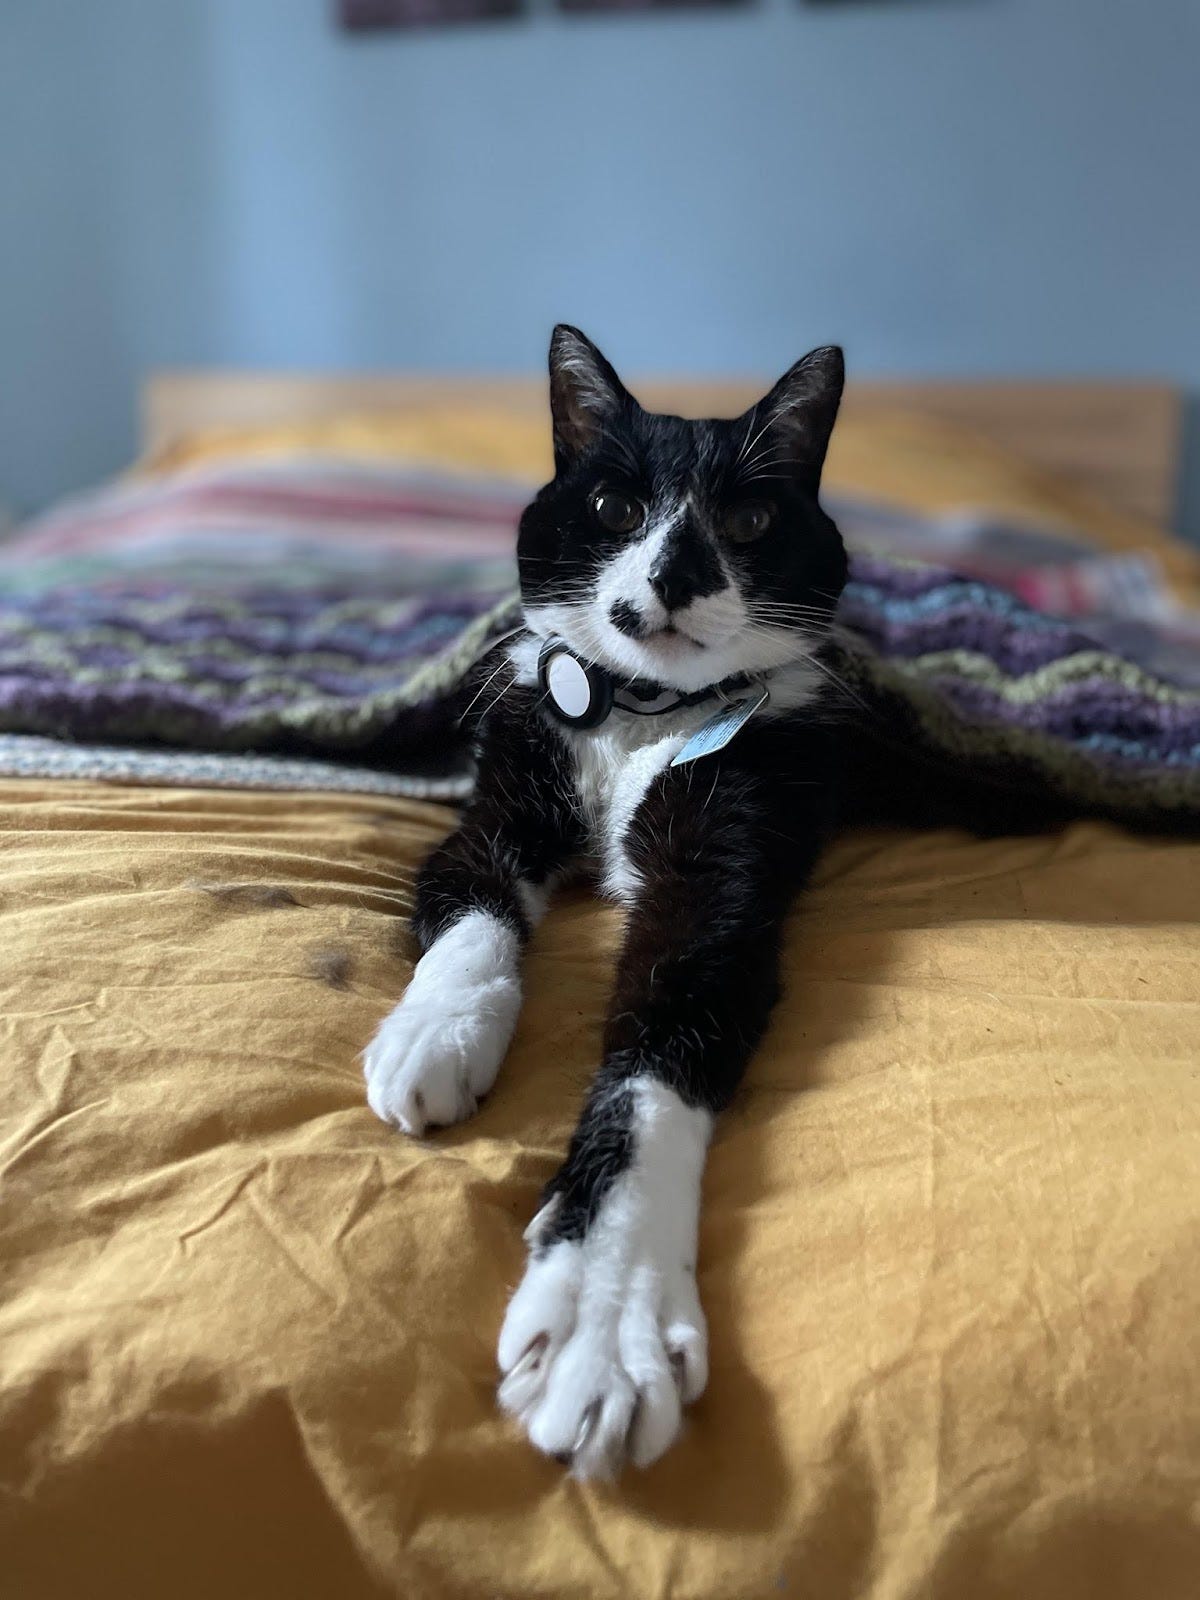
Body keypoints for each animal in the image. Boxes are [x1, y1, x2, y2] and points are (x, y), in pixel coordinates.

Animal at [366, 321, 857, 1472]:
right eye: (613, 509)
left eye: (750, 519)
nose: (674, 573)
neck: (639, 713)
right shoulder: (502, 789)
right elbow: (473, 906)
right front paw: (434, 1036)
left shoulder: (726, 866)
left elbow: (662, 1045)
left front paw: (602, 1318)